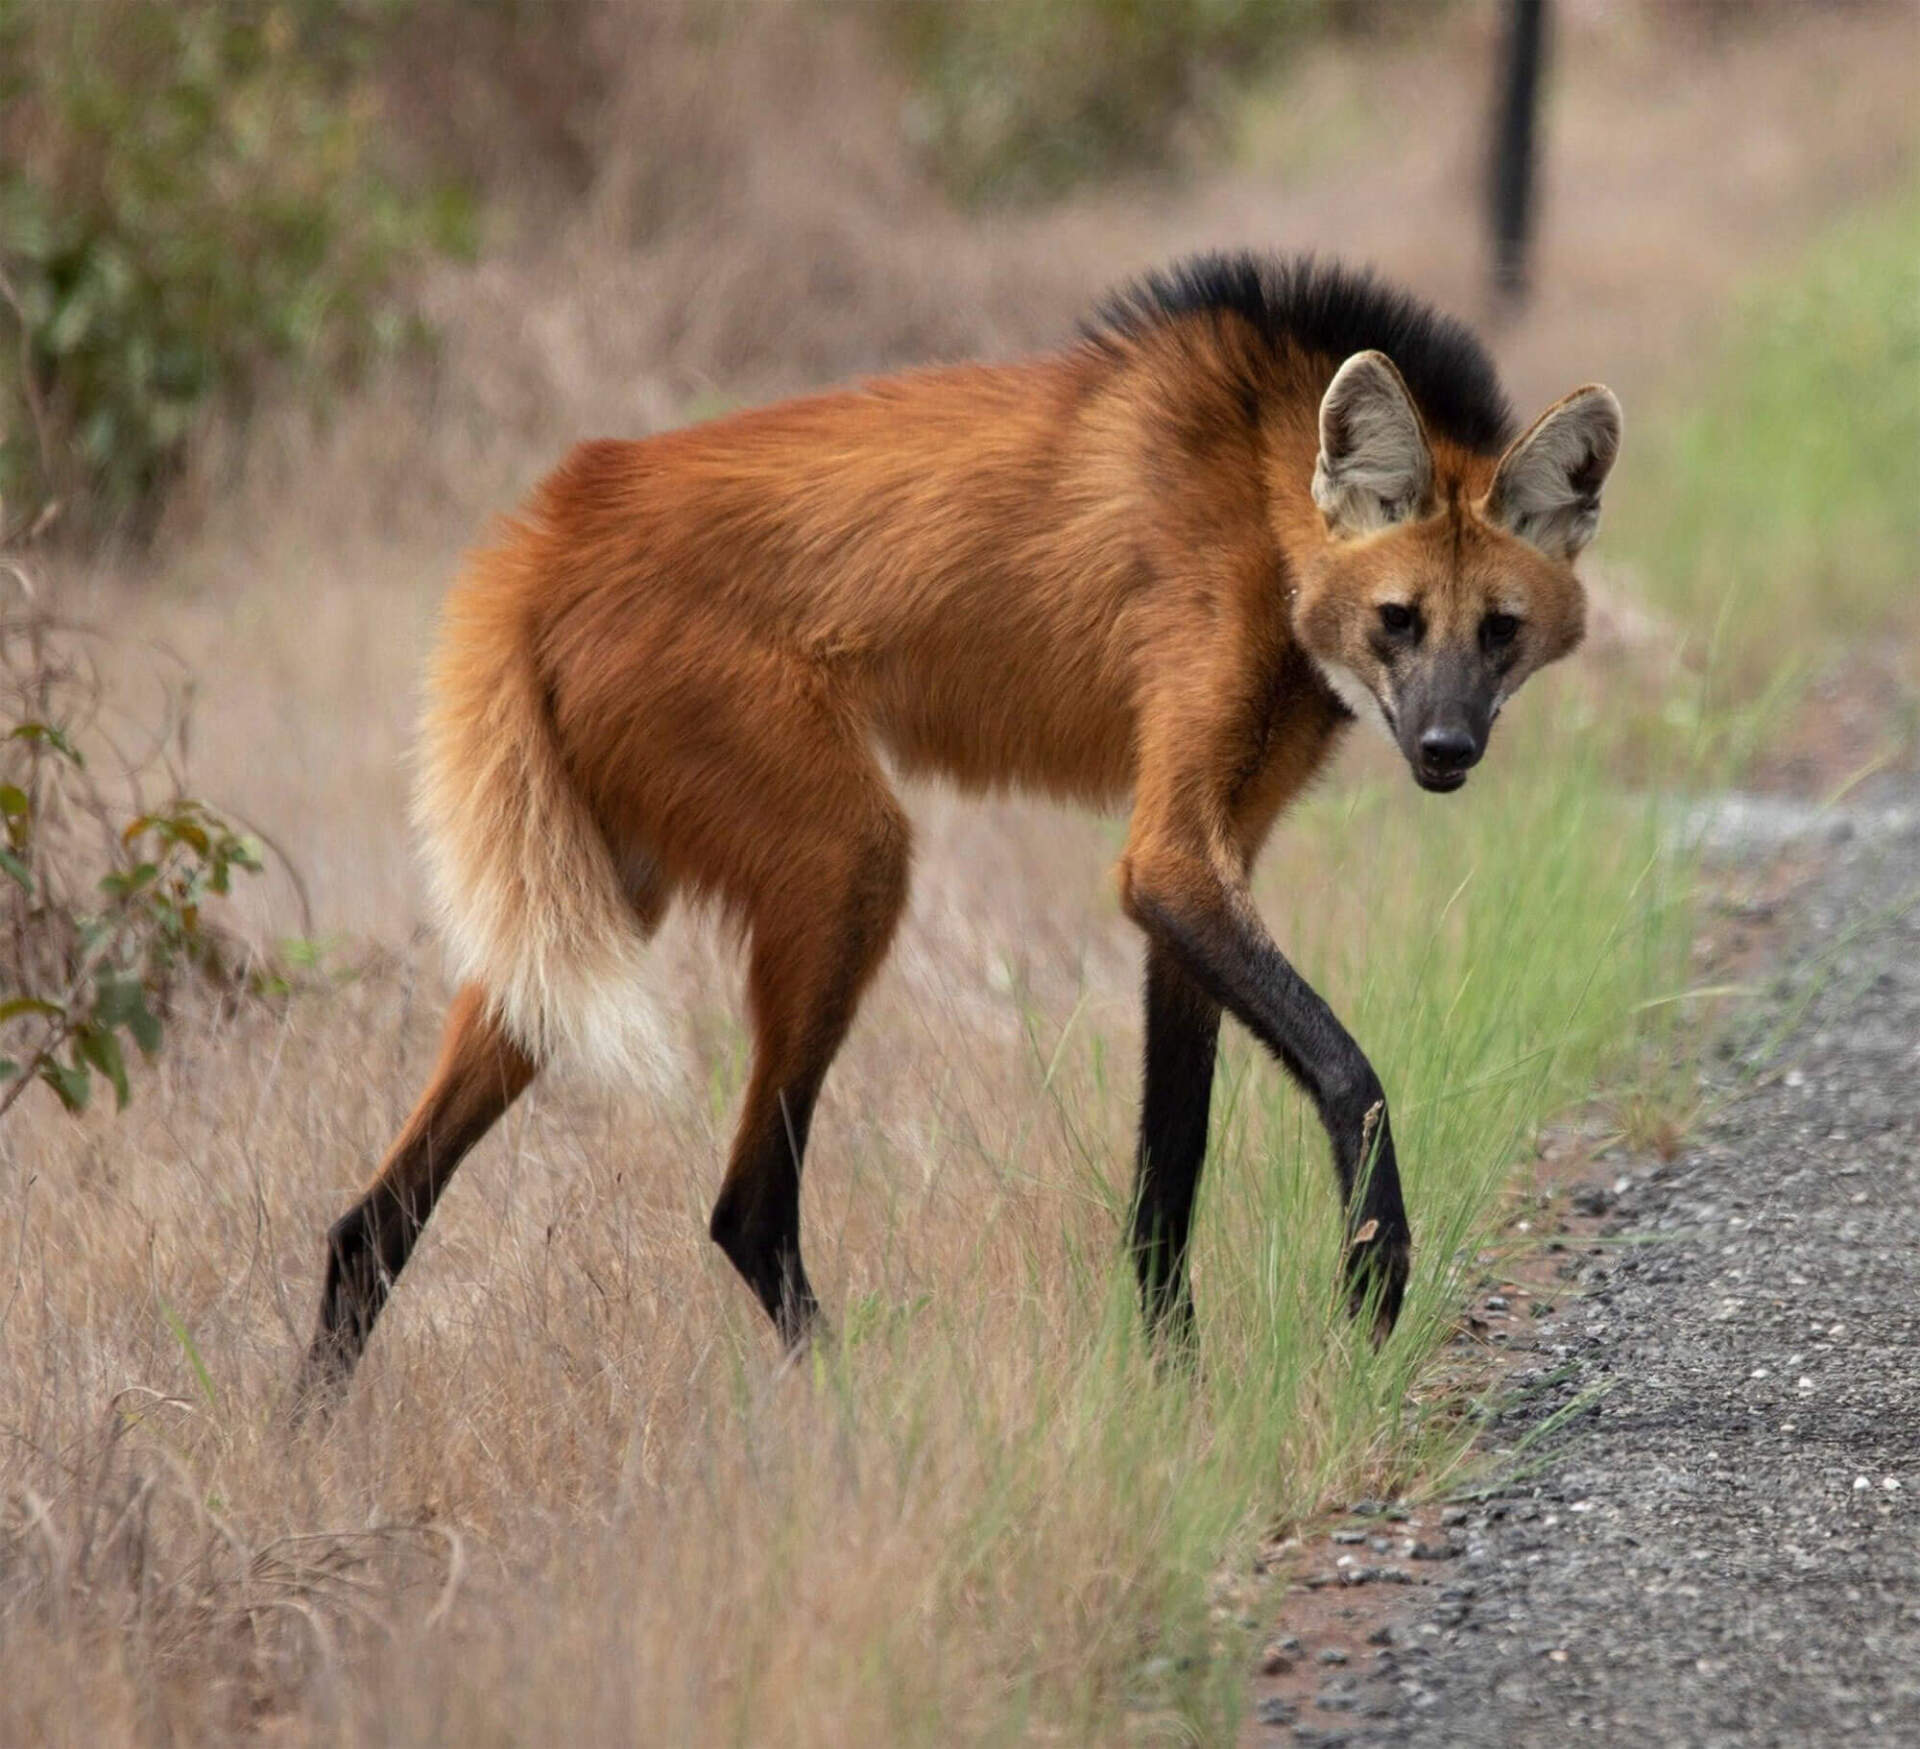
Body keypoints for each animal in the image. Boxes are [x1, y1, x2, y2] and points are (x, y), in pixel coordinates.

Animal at [295, 257, 1620, 1405]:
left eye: (1497, 630)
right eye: (1399, 619)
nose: (1446, 750)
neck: (1262, 489)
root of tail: (548, 522)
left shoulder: (1201, 870)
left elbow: (1170, 1164)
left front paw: (1172, 1392)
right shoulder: (1171, 855)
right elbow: (1350, 1075)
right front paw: (1369, 1271)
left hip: (589, 902)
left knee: (373, 1217)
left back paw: (308, 1437)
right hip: (846, 864)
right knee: (747, 1202)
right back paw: (857, 1412)